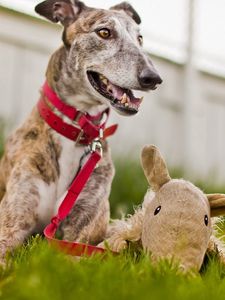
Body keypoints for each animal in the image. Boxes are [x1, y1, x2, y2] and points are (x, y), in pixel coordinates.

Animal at [0, 0, 163, 262]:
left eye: (140, 38)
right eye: (104, 32)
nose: (153, 78)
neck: (76, 130)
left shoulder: (80, 235)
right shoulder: (12, 224)